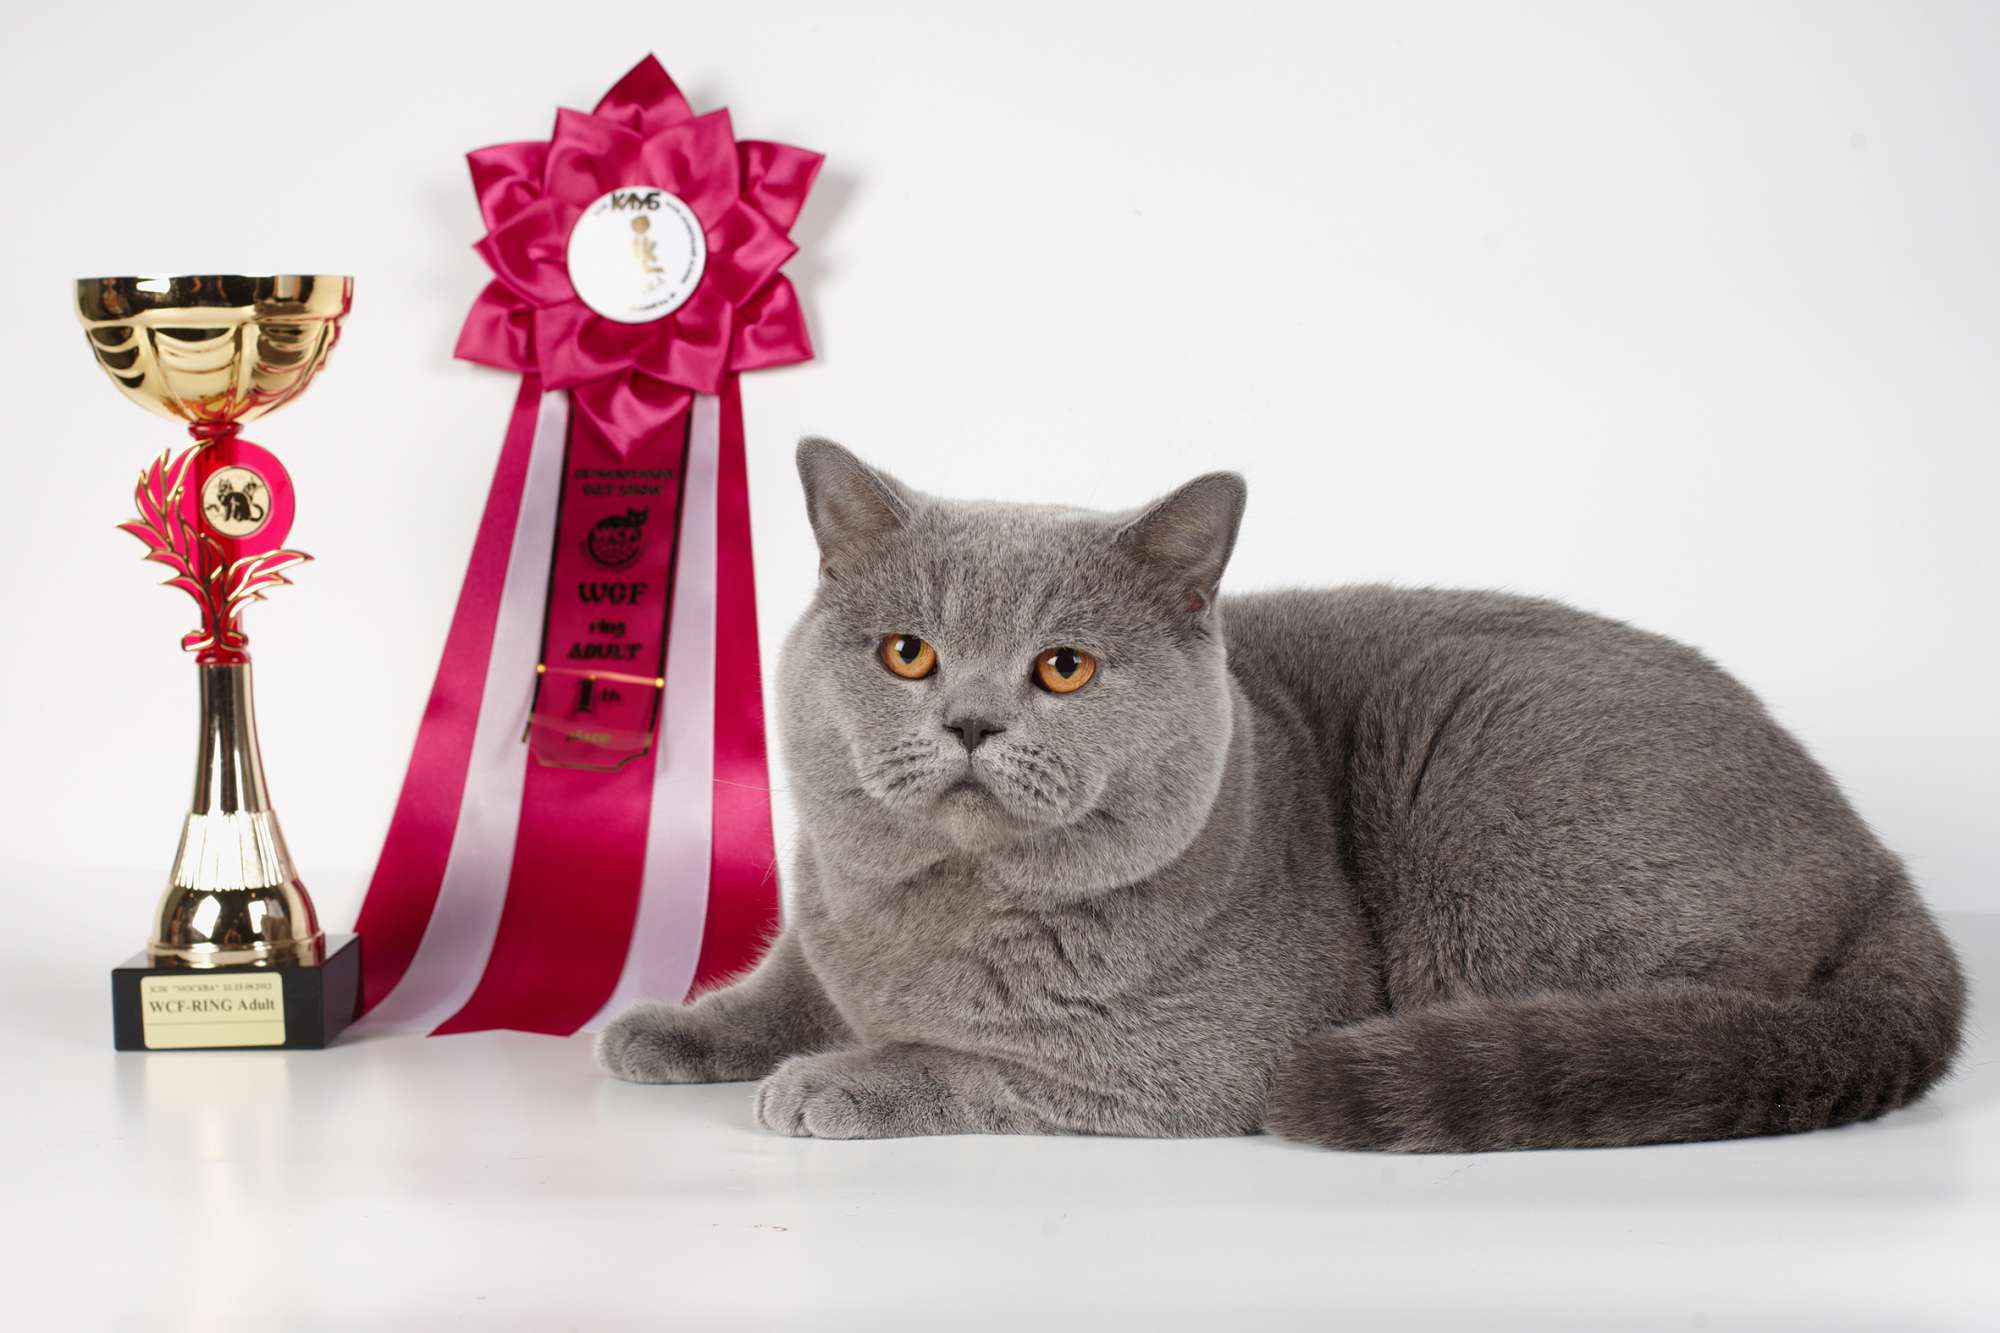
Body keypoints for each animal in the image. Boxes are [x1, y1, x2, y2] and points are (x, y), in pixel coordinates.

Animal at [596, 440, 1966, 1151]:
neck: (933, 913)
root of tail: (1875, 857)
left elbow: (971, 1059)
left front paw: (838, 1079)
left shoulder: (1201, 1055)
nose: (970, 720)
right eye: (907, 653)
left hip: (1483, 781)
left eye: (1062, 666)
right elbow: (781, 982)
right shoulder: (827, 916)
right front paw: (667, 1028)